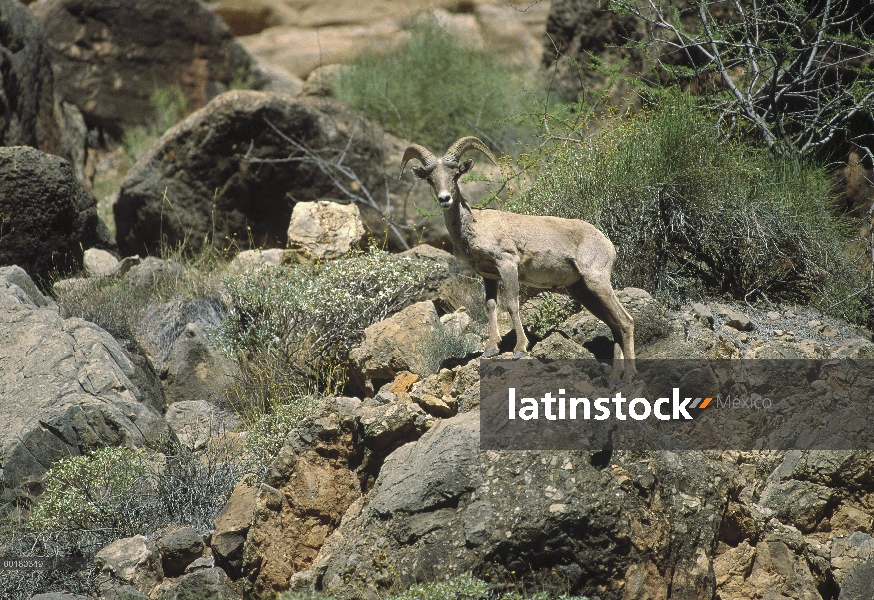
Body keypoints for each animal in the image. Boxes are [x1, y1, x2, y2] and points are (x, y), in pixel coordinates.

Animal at [402, 138, 632, 378]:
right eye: (430, 179)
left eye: (455, 174)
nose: (444, 199)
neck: (476, 227)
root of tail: (607, 244)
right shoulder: (489, 276)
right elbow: (491, 306)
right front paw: (491, 348)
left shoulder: (507, 265)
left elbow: (512, 304)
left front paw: (520, 349)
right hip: (581, 291)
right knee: (615, 325)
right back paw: (615, 377)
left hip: (597, 281)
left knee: (626, 322)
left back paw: (630, 375)